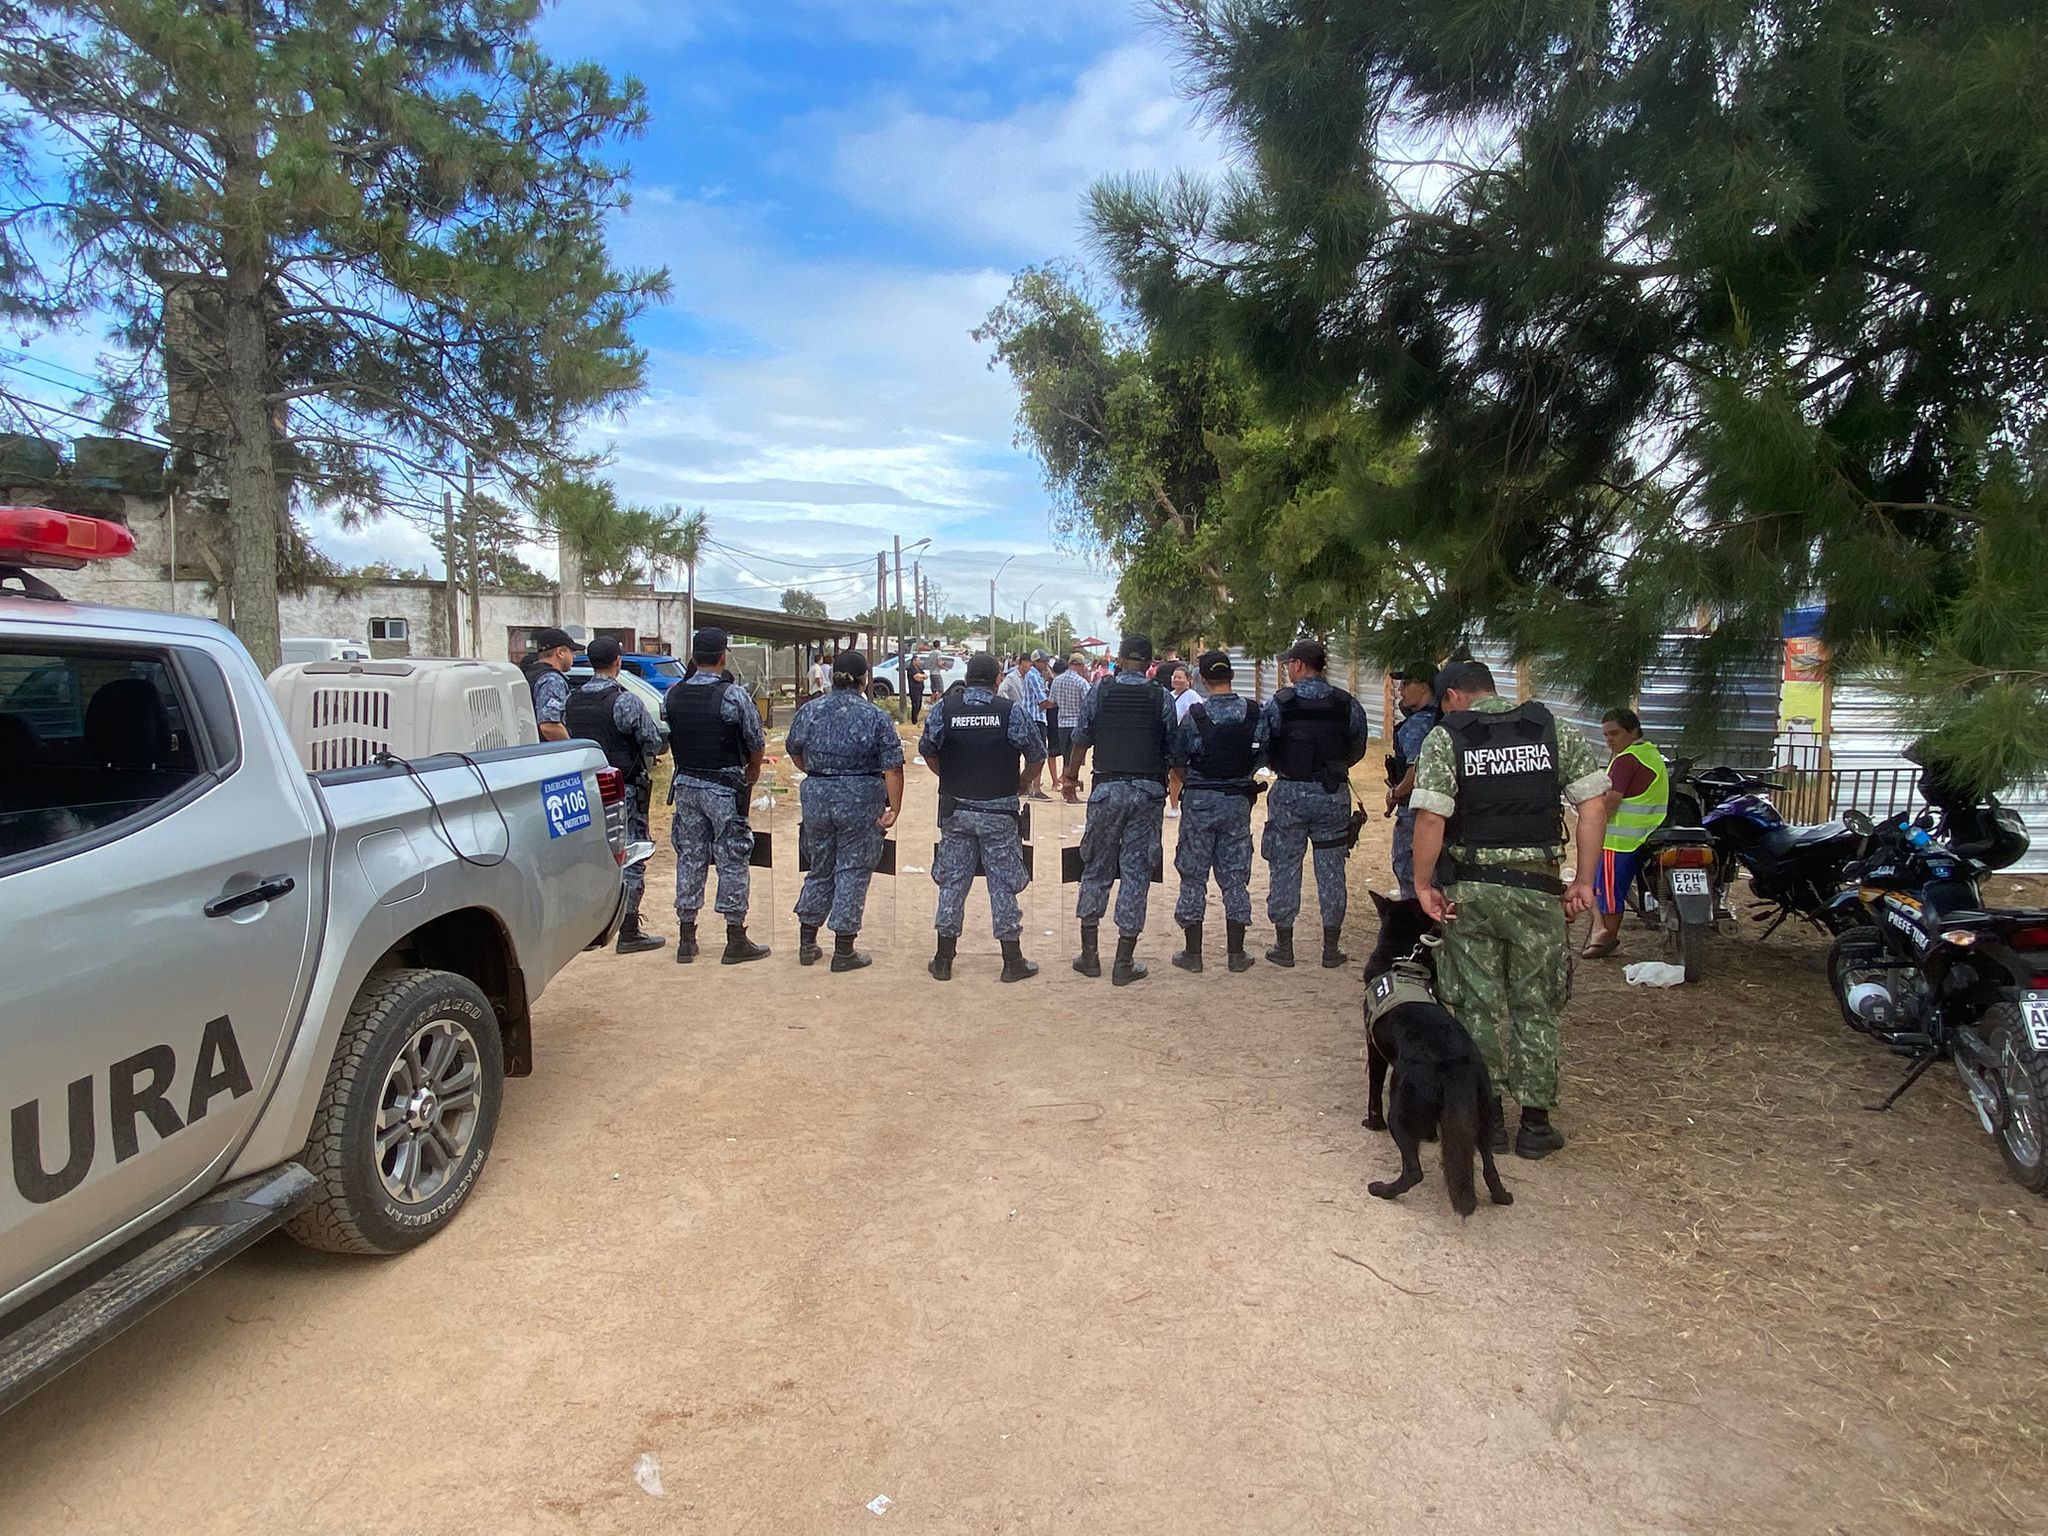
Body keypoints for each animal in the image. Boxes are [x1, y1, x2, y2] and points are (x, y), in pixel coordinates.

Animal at [1368, 897, 1515, 1220]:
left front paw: (1370, 1122)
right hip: (1484, 1119)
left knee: (1414, 1171)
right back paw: (1502, 1196)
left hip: (1400, 1111)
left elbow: (1372, 1087)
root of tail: (1454, 1063)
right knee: (1489, 1166)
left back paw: (1383, 1190)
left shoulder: (1373, 1049)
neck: (1403, 957)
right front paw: (1431, 1136)